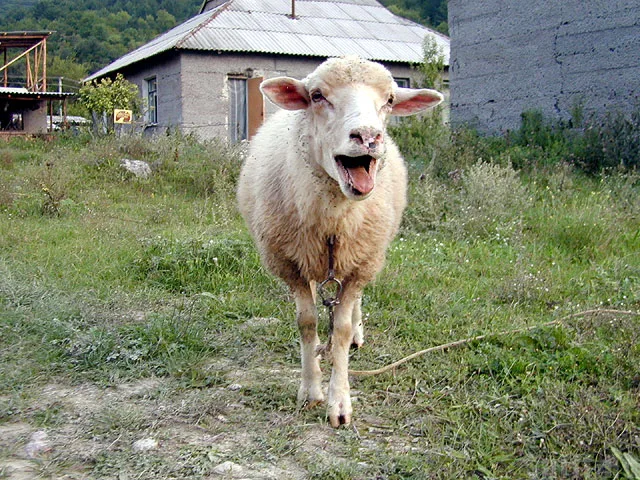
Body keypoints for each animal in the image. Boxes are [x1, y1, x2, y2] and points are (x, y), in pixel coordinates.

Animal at [237, 56, 443, 427]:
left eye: (390, 100)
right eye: (317, 96)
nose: (368, 136)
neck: (334, 221)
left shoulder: (362, 264)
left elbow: (342, 330)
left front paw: (340, 402)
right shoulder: (290, 266)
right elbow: (306, 324)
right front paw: (311, 390)